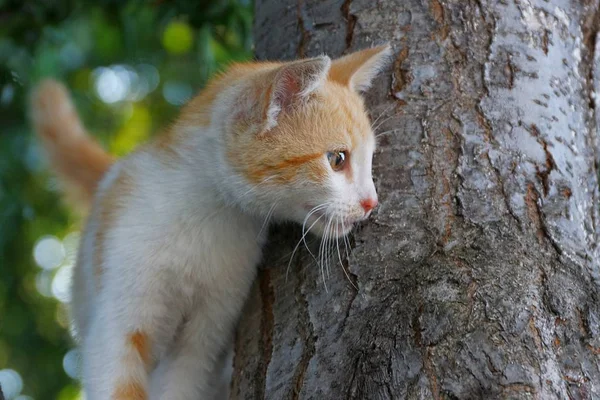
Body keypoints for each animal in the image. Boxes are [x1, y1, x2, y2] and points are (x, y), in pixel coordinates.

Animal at [30, 44, 392, 400]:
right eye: (337, 159)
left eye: (370, 159)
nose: (371, 202)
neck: (208, 217)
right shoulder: (117, 326)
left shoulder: (203, 336)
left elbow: (182, 383)